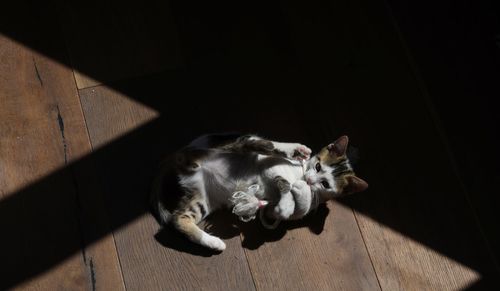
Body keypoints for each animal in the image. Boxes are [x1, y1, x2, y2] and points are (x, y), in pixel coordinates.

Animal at [151, 135, 368, 251]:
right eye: (317, 166)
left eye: (325, 183)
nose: (309, 180)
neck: (300, 172)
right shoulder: (271, 170)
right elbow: (284, 183)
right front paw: (291, 196)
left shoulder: (272, 206)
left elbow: (296, 207)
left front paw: (295, 199)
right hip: (222, 149)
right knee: (249, 143)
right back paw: (290, 149)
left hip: (202, 200)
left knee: (179, 219)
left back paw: (212, 241)